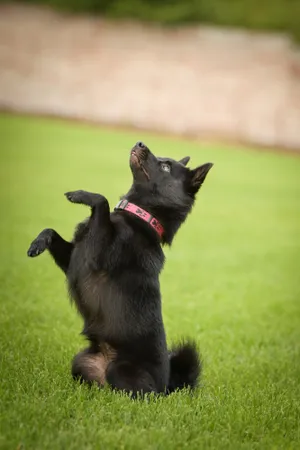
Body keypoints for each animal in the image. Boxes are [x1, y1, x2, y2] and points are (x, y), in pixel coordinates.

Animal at [27, 142, 212, 398]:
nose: (140, 143)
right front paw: (37, 244)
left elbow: (102, 201)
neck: (138, 217)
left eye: (166, 166)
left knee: (133, 394)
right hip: (80, 361)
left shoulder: (96, 255)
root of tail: (167, 388)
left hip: (121, 370)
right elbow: (51, 231)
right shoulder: (76, 257)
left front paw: (80, 195)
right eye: (162, 158)